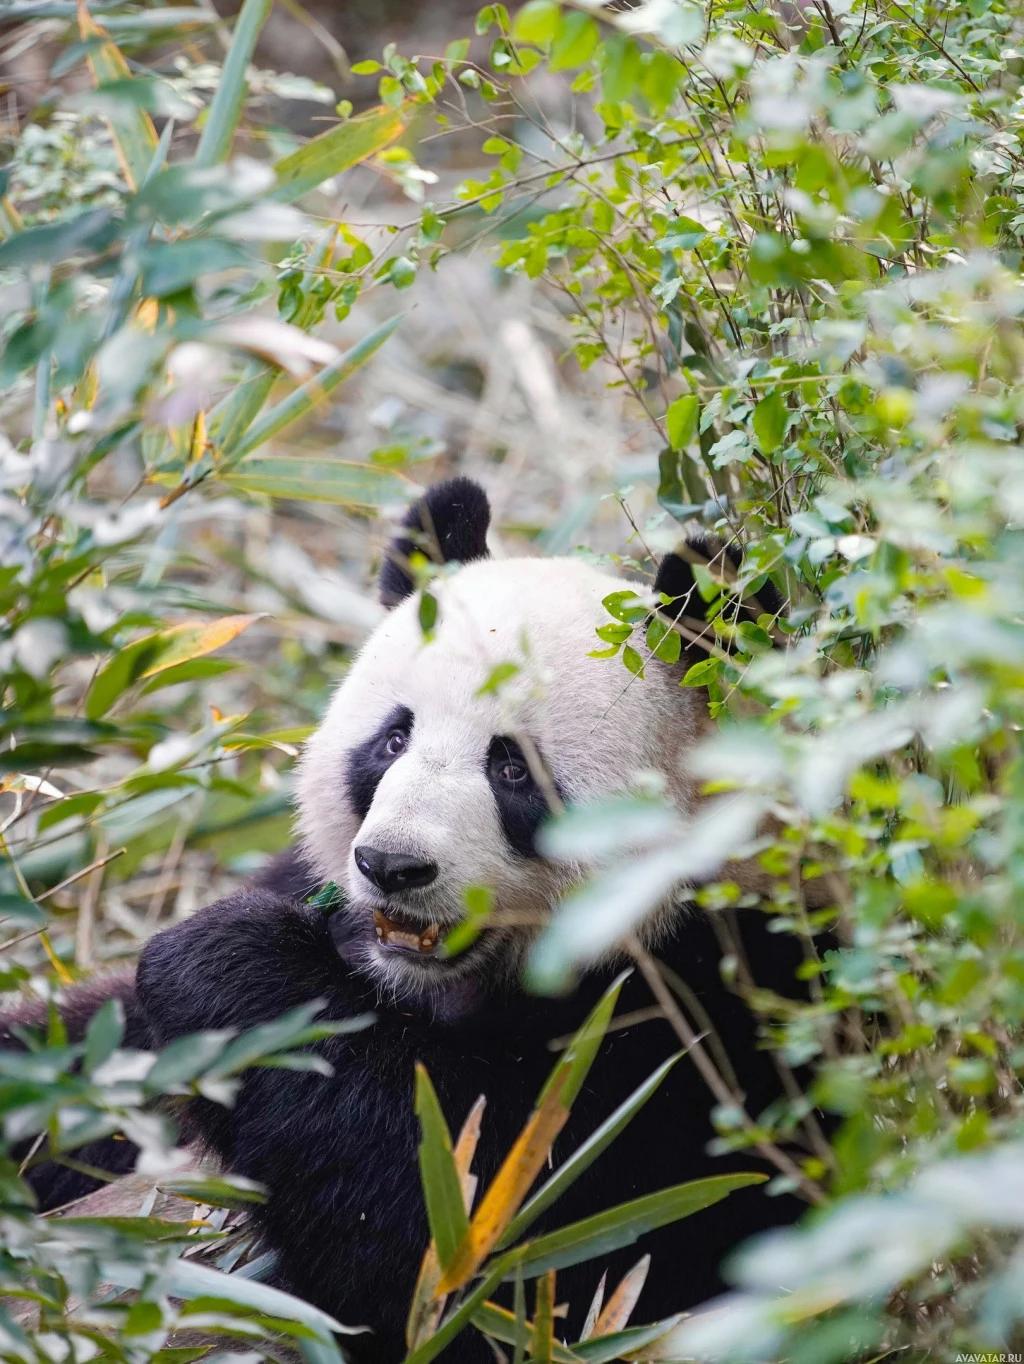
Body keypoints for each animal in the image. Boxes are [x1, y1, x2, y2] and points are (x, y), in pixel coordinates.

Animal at [8, 480, 818, 1364]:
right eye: (393, 739)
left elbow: (496, 1252)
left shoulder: (714, 1027)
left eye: (513, 769)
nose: (392, 866)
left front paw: (224, 963)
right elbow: (89, 1047)